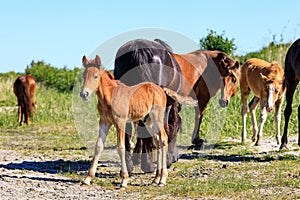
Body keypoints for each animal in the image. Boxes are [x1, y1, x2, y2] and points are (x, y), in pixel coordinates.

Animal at [80, 54, 197, 188]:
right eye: (84, 76)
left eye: (95, 76)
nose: (84, 94)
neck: (110, 95)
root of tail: (161, 89)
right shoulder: (104, 122)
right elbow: (99, 146)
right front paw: (88, 178)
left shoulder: (120, 122)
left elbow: (121, 147)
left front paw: (124, 180)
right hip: (148, 122)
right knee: (158, 142)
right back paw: (156, 178)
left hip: (157, 118)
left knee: (163, 139)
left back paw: (163, 179)